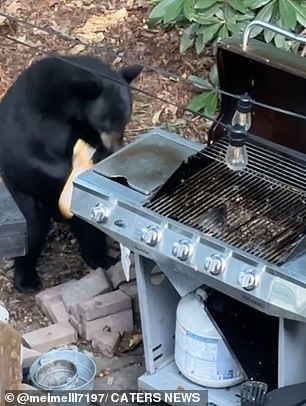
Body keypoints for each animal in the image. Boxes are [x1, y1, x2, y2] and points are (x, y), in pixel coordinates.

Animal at [0, 55, 142, 294]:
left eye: (125, 121)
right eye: (106, 121)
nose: (115, 147)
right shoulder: (31, 118)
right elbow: (31, 156)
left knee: (87, 228)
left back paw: (101, 259)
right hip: (22, 193)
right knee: (33, 228)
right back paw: (27, 279)